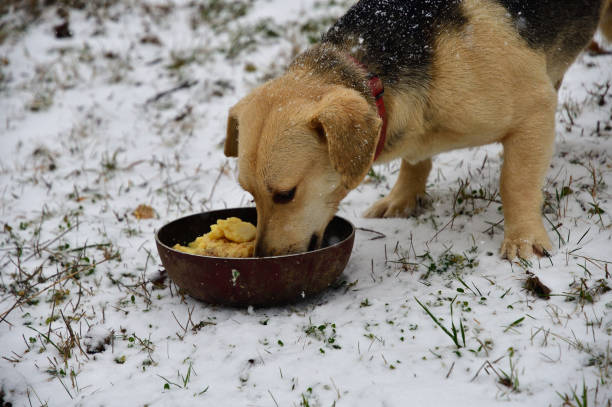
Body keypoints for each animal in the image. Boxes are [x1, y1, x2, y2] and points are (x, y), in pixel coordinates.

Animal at [224, 0, 612, 258]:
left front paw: (523, 238)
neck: (371, 74)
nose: (262, 258)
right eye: (249, 192)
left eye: (285, 194)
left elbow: (515, 184)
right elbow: (415, 162)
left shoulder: (535, 110)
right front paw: (402, 197)